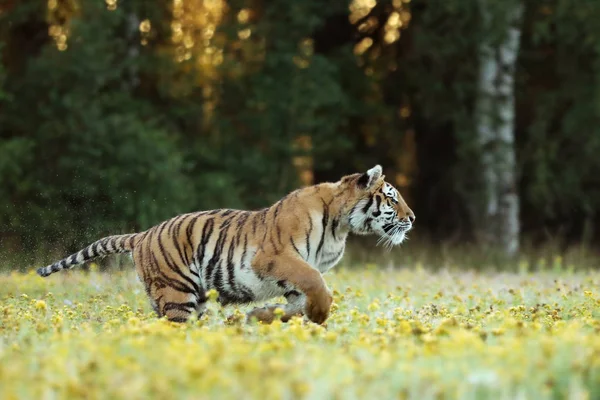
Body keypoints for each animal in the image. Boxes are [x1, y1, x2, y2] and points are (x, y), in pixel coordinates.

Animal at [36, 166, 412, 324]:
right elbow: (317, 286)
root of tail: (141, 235)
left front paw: (261, 316)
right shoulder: (279, 259)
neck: (340, 225)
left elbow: (296, 301)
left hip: (194, 296)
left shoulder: (293, 275)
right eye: (392, 198)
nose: (413, 218)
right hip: (177, 293)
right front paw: (319, 316)